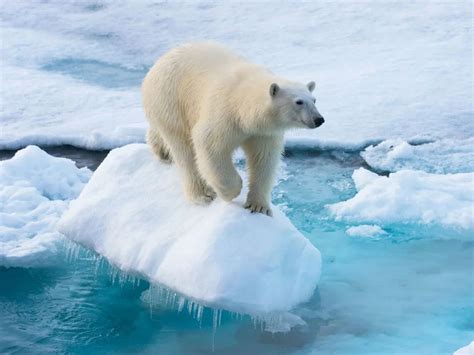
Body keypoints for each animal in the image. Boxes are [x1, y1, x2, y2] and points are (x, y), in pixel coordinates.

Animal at [143, 43, 324, 217]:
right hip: (171, 101)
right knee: (184, 151)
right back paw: (202, 195)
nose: (319, 119)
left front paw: (259, 206)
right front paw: (230, 192)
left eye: (314, 100)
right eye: (299, 102)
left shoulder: (263, 133)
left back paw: (161, 150)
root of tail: (158, 63)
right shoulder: (224, 114)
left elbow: (264, 159)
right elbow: (210, 146)